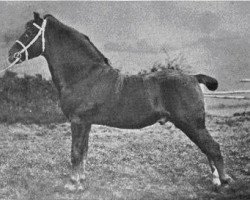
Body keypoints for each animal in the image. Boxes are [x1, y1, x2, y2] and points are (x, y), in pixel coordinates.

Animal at [8, 12, 232, 189]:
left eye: (28, 33)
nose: (11, 55)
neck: (83, 74)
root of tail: (193, 77)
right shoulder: (85, 123)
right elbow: (83, 152)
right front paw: (80, 180)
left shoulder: (78, 121)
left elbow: (75, 152)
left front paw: (72, 184)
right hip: (193, 125)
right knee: (207, 149)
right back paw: (216, 180)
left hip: (192, 124)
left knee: (213, 148)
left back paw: (224, 180)